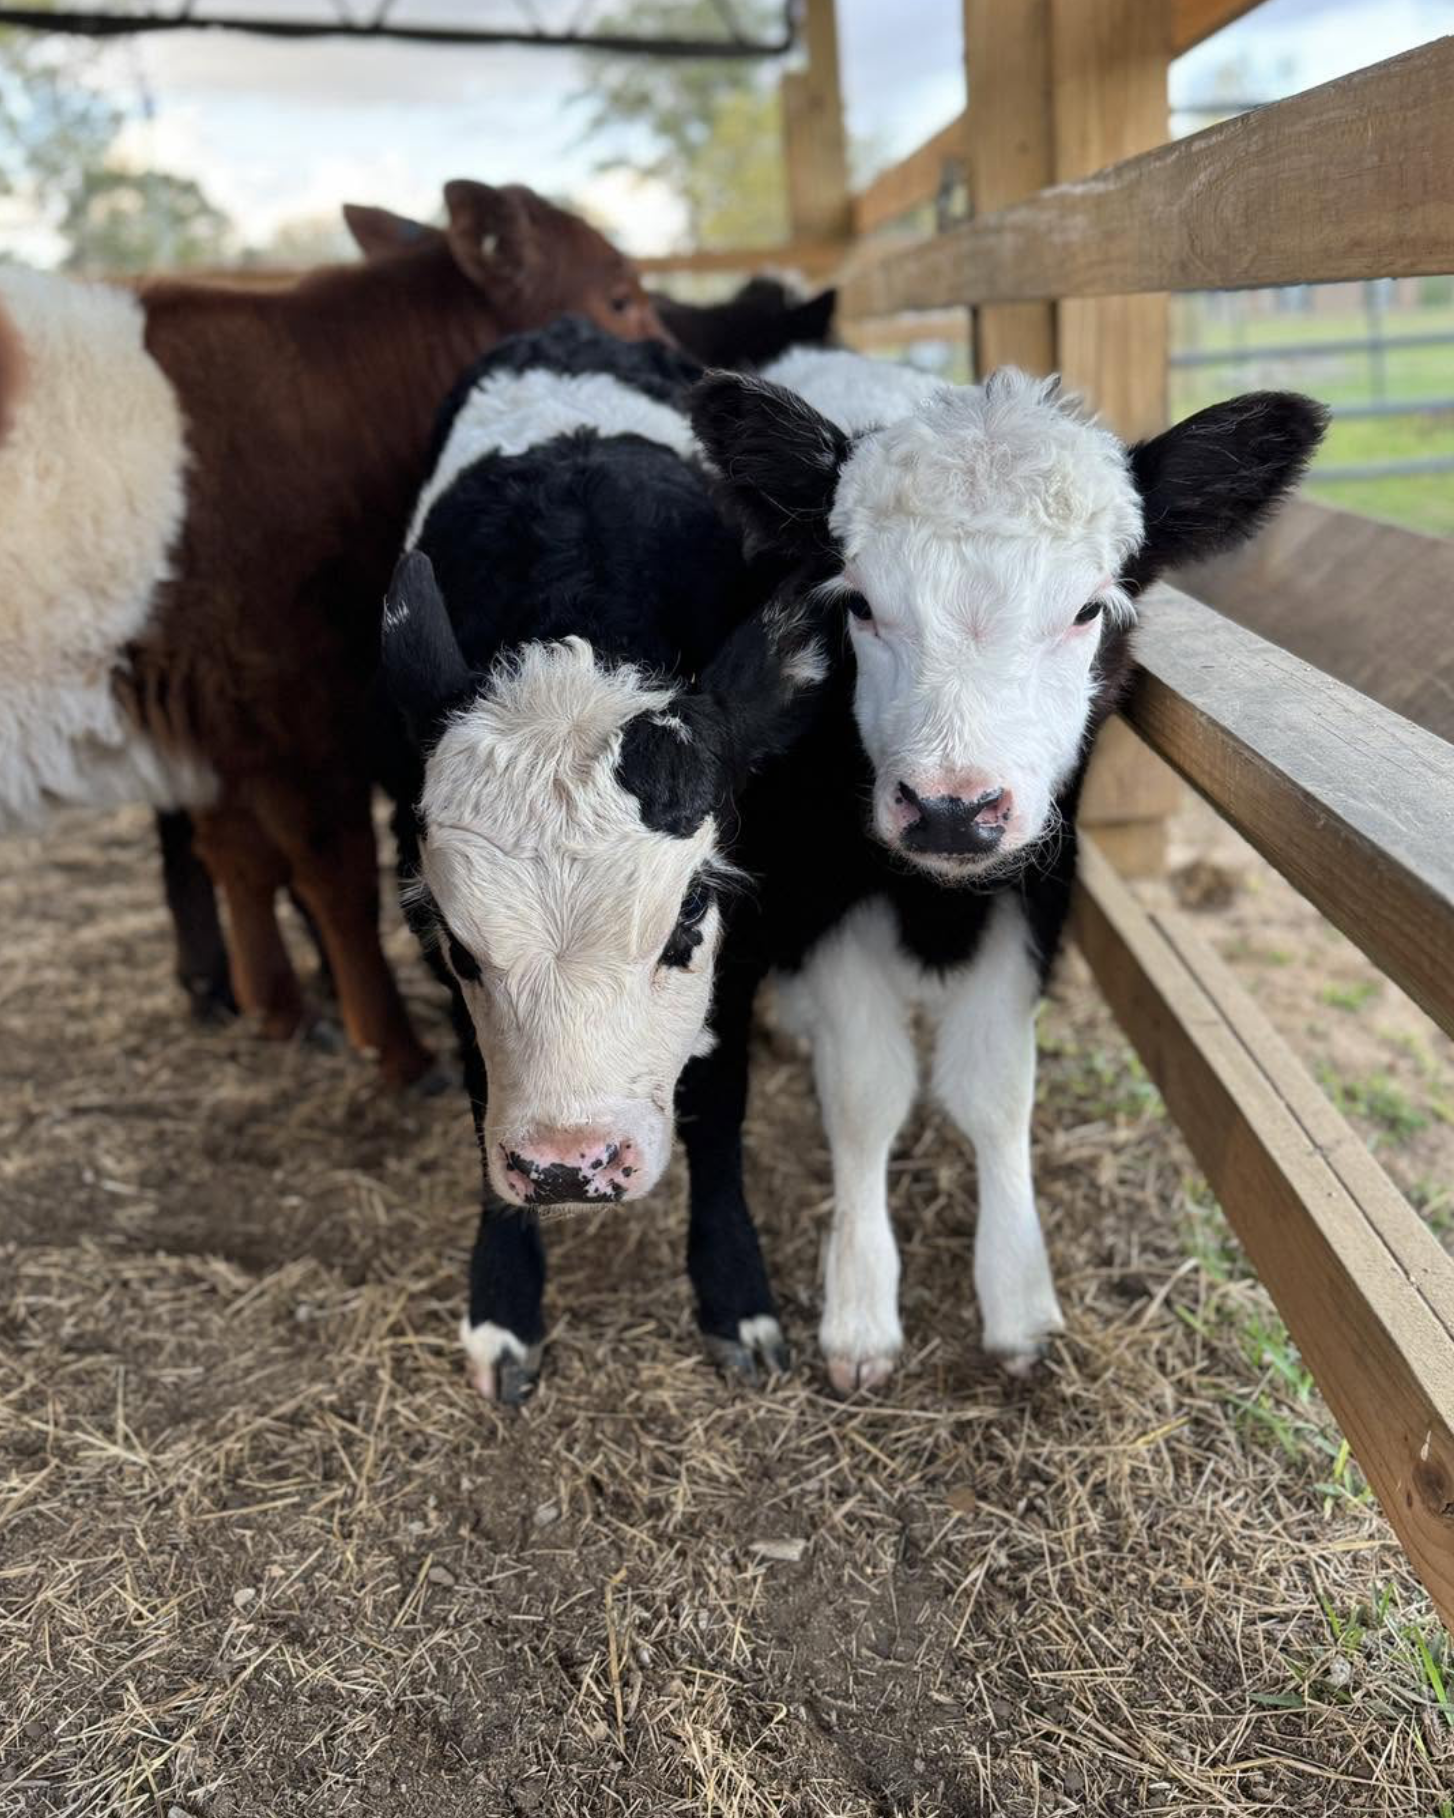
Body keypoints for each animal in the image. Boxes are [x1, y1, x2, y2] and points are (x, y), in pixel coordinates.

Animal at [0, 181, 662, 1084]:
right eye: (622, 296)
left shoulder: (216, 716)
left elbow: (239, 853)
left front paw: (280, 1009)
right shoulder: (295, 696)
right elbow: (335, 876)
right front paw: (397, 1048)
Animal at [379, 319, 827, 1402]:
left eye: (686, 920)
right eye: (461, 948)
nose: (567, 1167)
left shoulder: (743, 936)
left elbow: (719, 1104)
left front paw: (734, 1294)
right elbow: (479, 1090)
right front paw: (504, 1300)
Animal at [688, 351, 1327, 1391]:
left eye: (1087, 608)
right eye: (859, 603)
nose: (952, 806)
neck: (933, 908)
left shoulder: (1036, 890)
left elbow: (995, 1088)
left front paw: (1019, 1298)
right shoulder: (826, 896)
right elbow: (866, 1092)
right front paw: (860, 1309)